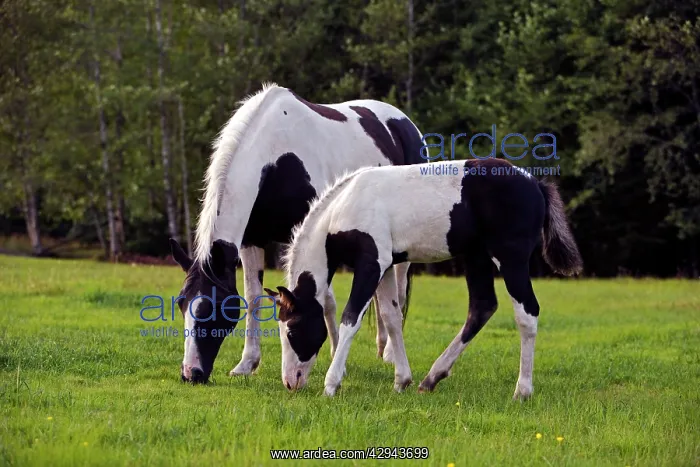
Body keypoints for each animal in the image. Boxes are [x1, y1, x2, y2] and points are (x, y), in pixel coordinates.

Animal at [169, 83, 425, 383]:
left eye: (215, 307)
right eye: (182, 303)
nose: (191, 373)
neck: (277, 159)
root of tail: (405, 124)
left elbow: (326, 301)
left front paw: (337, 360)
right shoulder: (252, 240)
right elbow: (254, 299)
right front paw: (247, 363)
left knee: (399, 292)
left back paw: (390, 355)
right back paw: (383, 346)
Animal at [267, 158, 582, 397]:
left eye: (292, 329)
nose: (291, 381)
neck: (344, 209)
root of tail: (536, 184)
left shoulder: (370, 264)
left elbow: (350, 319)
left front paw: (331, 384)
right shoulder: (384, 267)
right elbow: (392, 317)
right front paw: (401, 381)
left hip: (510, 259)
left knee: (527, 313)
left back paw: (522, 390)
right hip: (476, 257)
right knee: (482, 307)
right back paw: (431, 377)